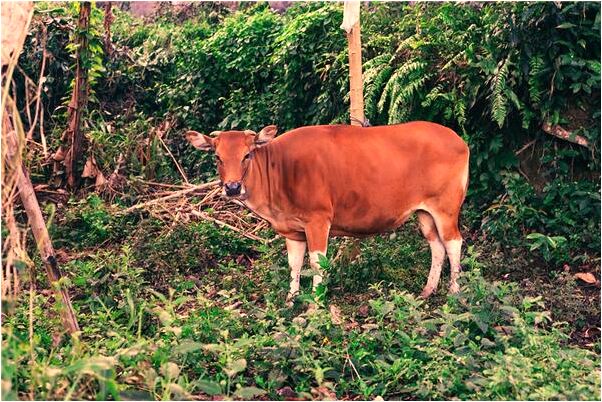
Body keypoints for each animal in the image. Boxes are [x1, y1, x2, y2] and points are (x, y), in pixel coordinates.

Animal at [185, 122, 466, 302]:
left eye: (247, 154)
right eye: (217, 157)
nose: (232, 187)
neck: (281, 169)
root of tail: (458, 140)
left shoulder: (318, 220)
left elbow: (316, 263)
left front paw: (317, 302)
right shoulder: (293, 230)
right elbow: (294, 263)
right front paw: (292, 298)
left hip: (446, 208)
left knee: (453, 242)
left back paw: (454, 292)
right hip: (424, 212)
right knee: (436, 245)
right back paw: (428, 291)